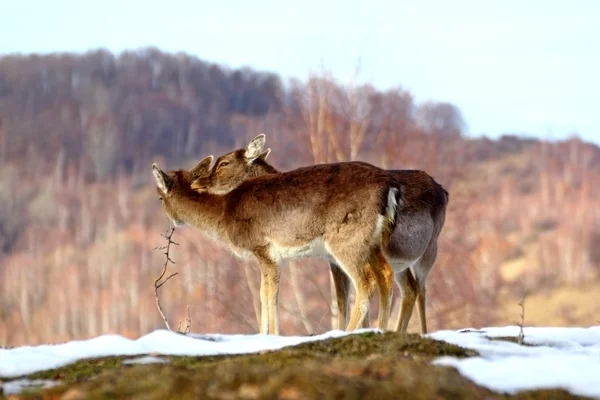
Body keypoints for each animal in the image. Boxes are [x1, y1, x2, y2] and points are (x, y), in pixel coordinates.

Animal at [152, 158, 400, 336]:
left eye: (159, 198)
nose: (173, 221)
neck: (224, 216)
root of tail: (389, 189)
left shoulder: (264, 249)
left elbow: (270, 294)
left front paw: (272, 335)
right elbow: (263, 293)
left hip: (347, 240)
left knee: (366, 282)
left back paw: (347, 333)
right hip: (373, 242)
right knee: (386, 274)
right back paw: (382, 329)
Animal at [190, 134, 448, 334]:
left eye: (223, 163)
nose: (198, 182)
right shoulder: (329, 260)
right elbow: (340, 299)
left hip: (380, 245)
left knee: (402, 285)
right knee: (404, 285)